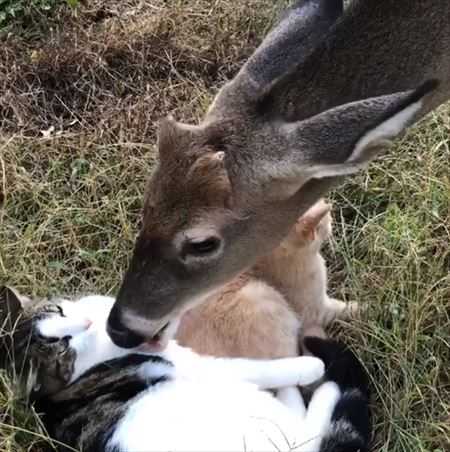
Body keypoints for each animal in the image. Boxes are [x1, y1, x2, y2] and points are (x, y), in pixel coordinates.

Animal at [0, 286, 370, 452]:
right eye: (63, 347)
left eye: (59, 311)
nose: (88, 323)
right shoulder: (196, 363)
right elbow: (252, 367)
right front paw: (308, 367)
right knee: (309, 433)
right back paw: (320, 386)